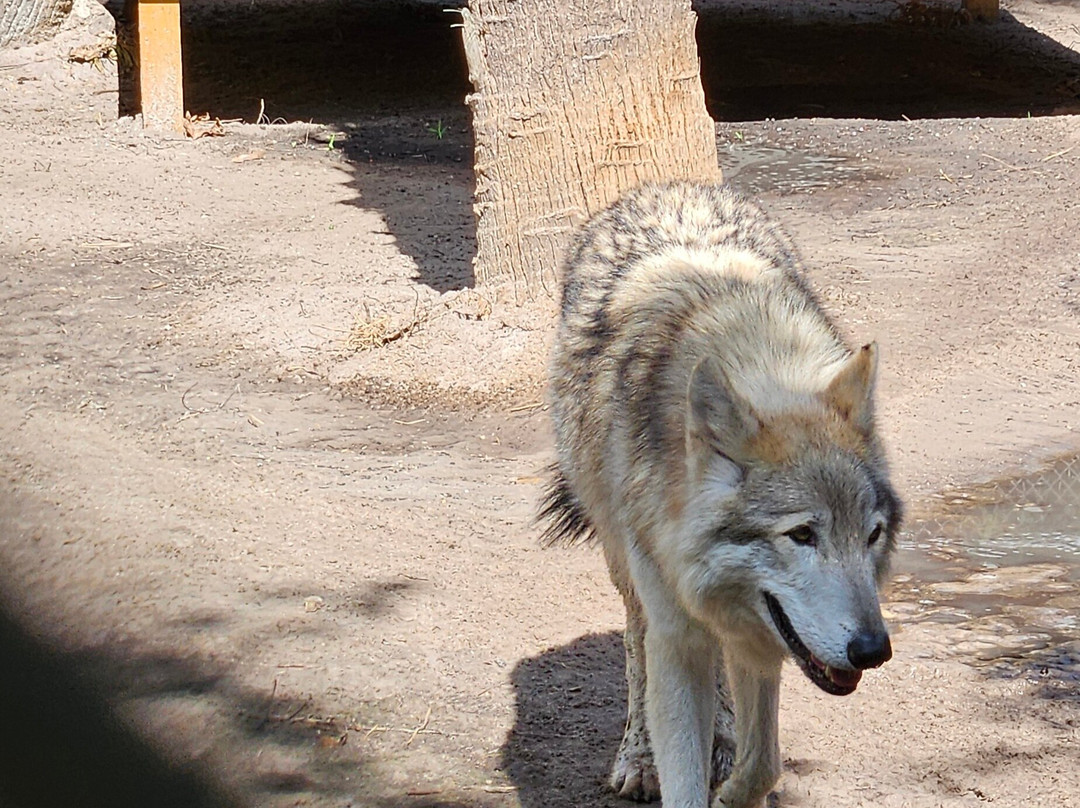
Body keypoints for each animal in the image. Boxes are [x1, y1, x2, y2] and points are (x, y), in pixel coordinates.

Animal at [541, 182, 902, 808]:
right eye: (801, 535)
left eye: (872, 535)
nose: (871, 649)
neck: (760, 359)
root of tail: (666, 186)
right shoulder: (678, 635)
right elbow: (681, 760)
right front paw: (678, 770)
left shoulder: (763, 634)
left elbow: (765, 762)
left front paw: (733, 788)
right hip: (625, 568)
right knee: (636, 650)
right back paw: (638, 756)